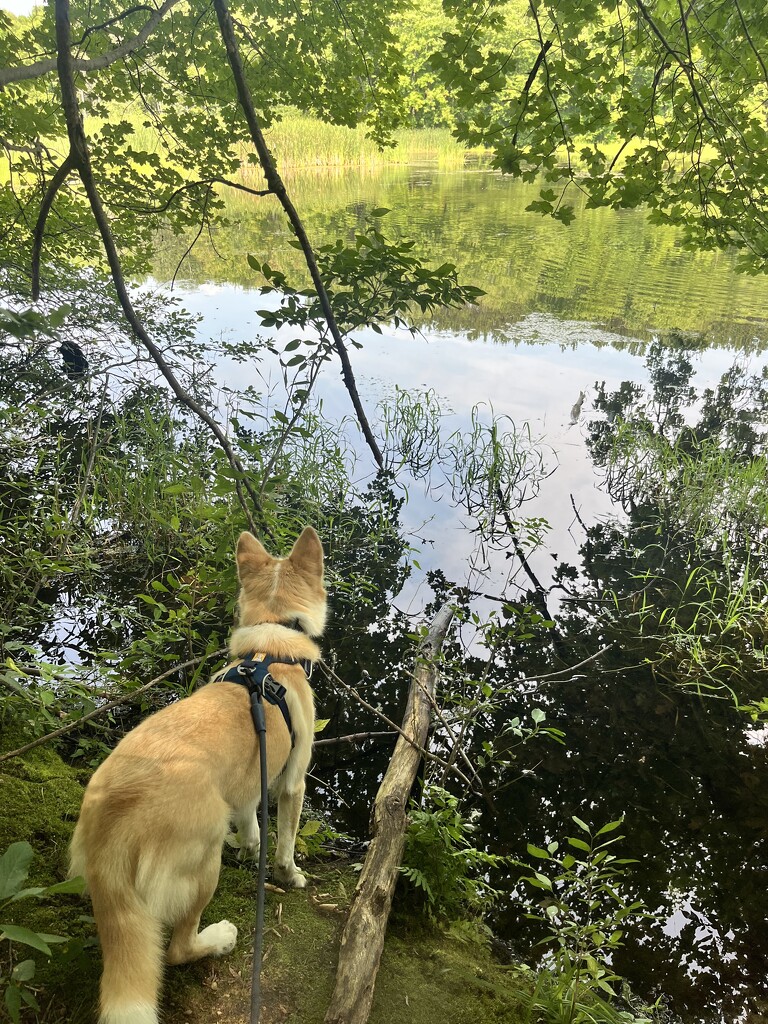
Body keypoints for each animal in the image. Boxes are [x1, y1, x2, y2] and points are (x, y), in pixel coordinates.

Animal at [69, 528, 327, 1024]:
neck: (271, 648)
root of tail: (115, 819)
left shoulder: (245, 786)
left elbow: (251, 821)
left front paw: (252, 845)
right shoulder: (293, 780)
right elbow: (285, 841)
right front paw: (290, 875)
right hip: (203, 861)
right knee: (177, 949)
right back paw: (218, 939)